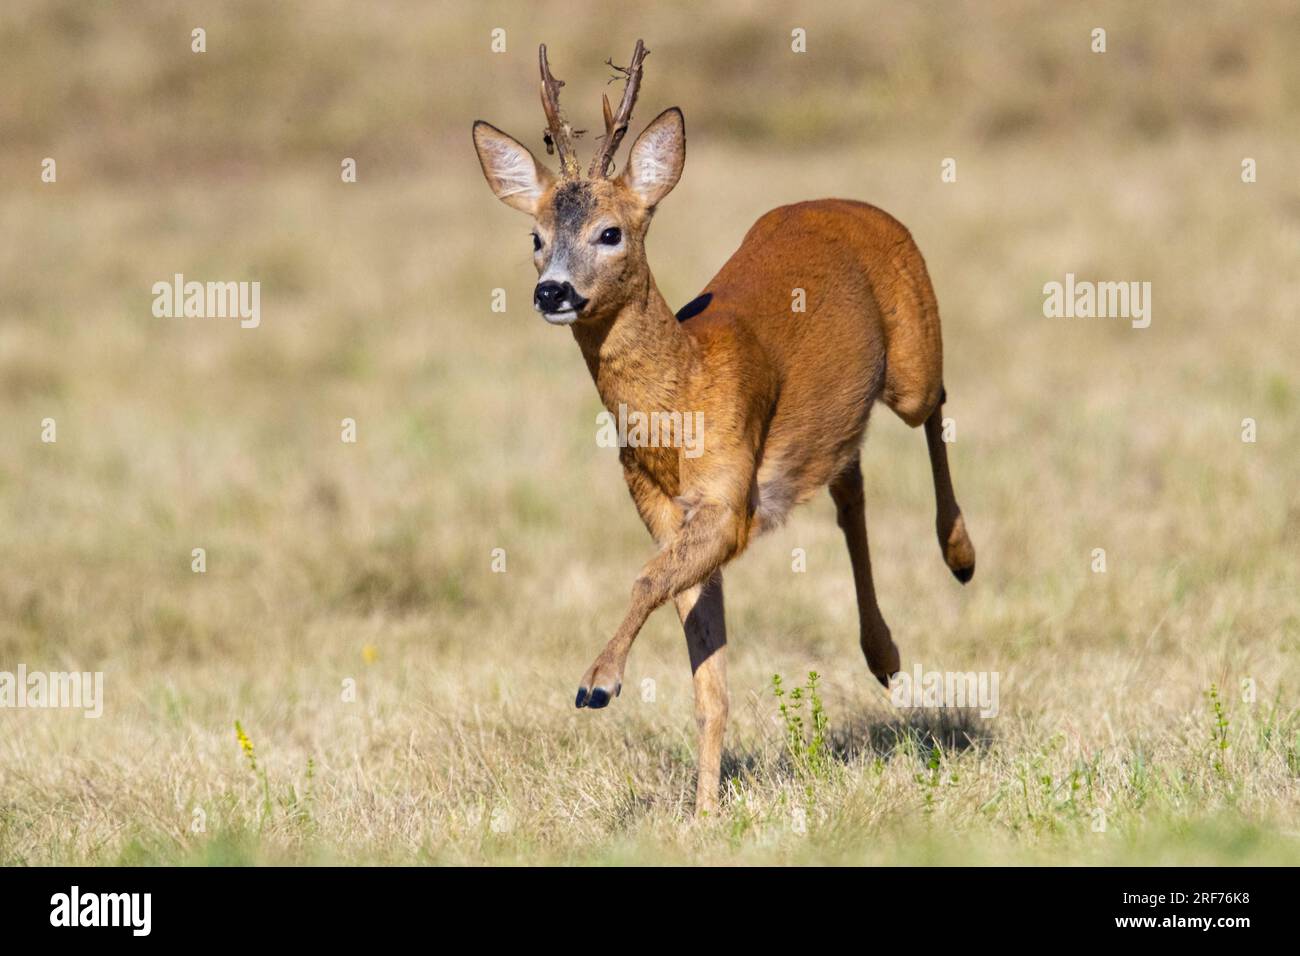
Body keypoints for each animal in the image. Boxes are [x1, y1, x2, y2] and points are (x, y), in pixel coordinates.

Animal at [471, 40, 975, 815]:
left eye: (610, 232)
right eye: (534, 236)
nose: (552, 290)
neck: (683, 393)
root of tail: (853, 203)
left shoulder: (727, 499)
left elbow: (645, 581)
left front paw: (597, 684)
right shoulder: (666, 512)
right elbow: (707, 678)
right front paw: (705, 811)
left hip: (913, 361)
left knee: (937, 402)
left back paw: (959, 556)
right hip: (839, 423)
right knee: (851, 485)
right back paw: (884, 655)